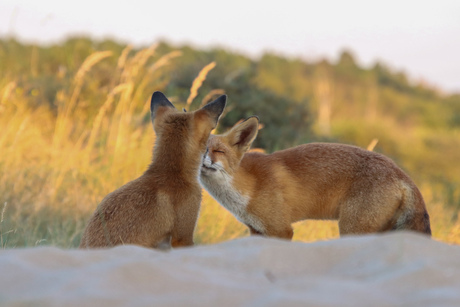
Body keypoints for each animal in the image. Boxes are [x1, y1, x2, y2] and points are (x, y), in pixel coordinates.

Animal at [199, 116, 432, 239]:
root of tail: (401, 173)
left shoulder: (281, 229)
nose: (202, 158)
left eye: (218, 151)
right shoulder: (256, 230)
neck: (247, 186)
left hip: (352, 228)